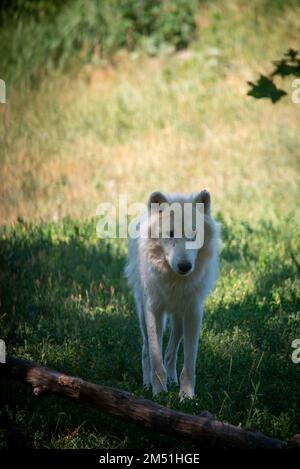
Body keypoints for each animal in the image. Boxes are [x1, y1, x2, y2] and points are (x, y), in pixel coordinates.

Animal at [125, 190, 220, 398]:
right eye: (170, 234)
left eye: (194, 235)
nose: (185, 266)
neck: (175, 281)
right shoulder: (153, 310)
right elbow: (155, 357)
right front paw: (159, 393)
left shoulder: (193, 313)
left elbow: (189, 363)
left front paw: (187, 396)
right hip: (142, 313)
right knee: (146, 350)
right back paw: (146, 384)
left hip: (178, 318)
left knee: (171, 352)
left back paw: (172, 380)